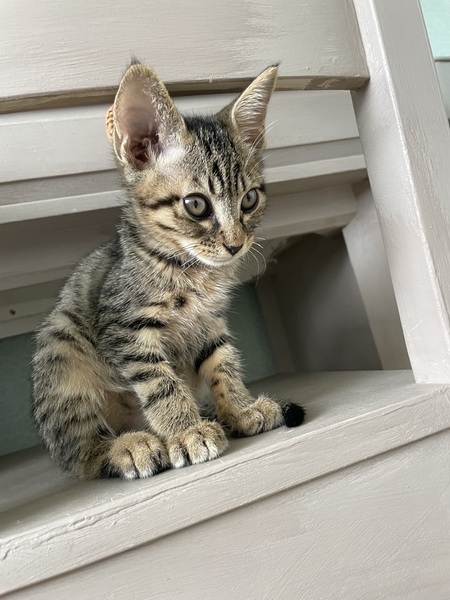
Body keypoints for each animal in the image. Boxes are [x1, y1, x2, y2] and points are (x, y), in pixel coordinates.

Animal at [32, 62, 304, 480]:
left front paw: (239, 409)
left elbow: (223, 363)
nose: (235, 244)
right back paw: (130, 446)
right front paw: (187, 431)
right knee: (81, 455)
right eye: (196, 205)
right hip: (61, 349)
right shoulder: (125, 327)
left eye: (249, 200)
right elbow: (161, 383)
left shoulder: (210, 322)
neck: (191, 270)